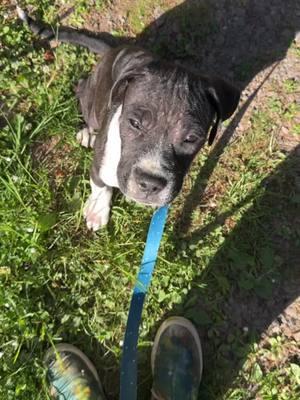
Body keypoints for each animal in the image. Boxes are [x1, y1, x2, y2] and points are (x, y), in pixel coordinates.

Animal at [17, 5, 240, 231]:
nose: (150, 184)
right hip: (90, 99)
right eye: (134, 123)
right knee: (81, 92)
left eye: (191, 138)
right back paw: (86, 131)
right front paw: (97, 211)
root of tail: (112, 50)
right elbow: (101, 187)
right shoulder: (99, 164)